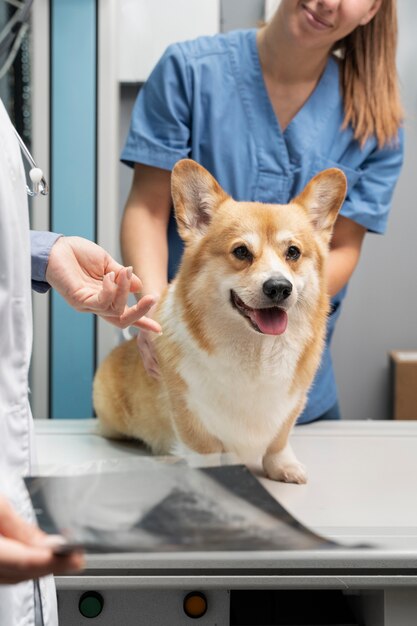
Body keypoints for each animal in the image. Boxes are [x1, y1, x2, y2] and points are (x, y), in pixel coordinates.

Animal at [93, 160, 344, 482]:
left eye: (293, 252)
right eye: (241, 251)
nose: (279, 287)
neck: (256, 350)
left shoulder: (291, 405)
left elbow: (278, 441)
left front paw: (283, 467)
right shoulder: (189, 411)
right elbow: (206, 452)